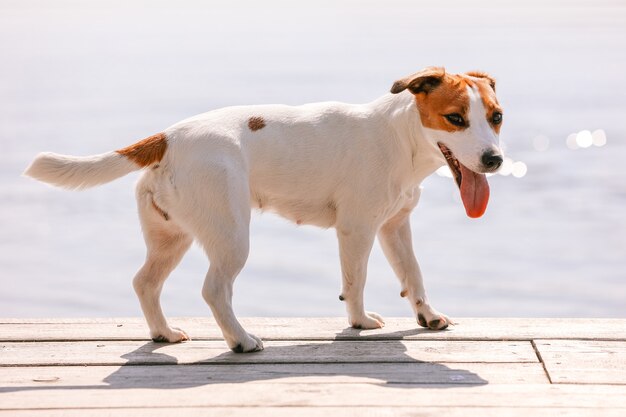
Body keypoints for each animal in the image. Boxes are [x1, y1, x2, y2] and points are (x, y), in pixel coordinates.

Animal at [25, 67, 502, 352]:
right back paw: (240, 340)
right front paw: (359, 322)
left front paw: (427, 316)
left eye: (496, 116)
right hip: (232, 237)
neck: (400, 135)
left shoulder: (395, 227)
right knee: (214, 290)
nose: (495, 160)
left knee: (145, 283)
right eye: (456, 118)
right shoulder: (357, 229)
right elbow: (356, 281)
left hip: (171, 238)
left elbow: (413, 274)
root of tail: (168, 137)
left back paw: (164, 332)